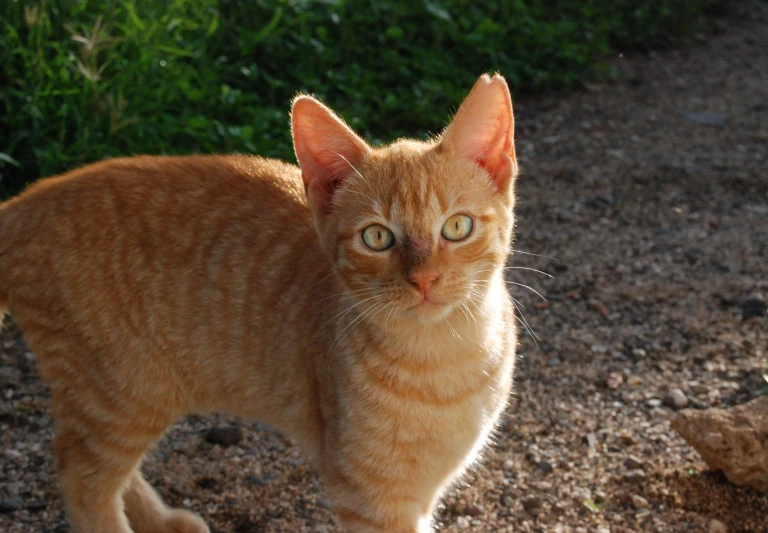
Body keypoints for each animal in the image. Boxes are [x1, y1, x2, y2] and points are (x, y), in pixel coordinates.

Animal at [0, 74, 520, 532]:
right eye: (376, 237)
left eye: (456, 227)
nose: (424, 279)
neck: (445, 362)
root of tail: (26, 202)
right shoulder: (367, 497)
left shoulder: (424, 490)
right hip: (119, 393)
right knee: (80, 475)